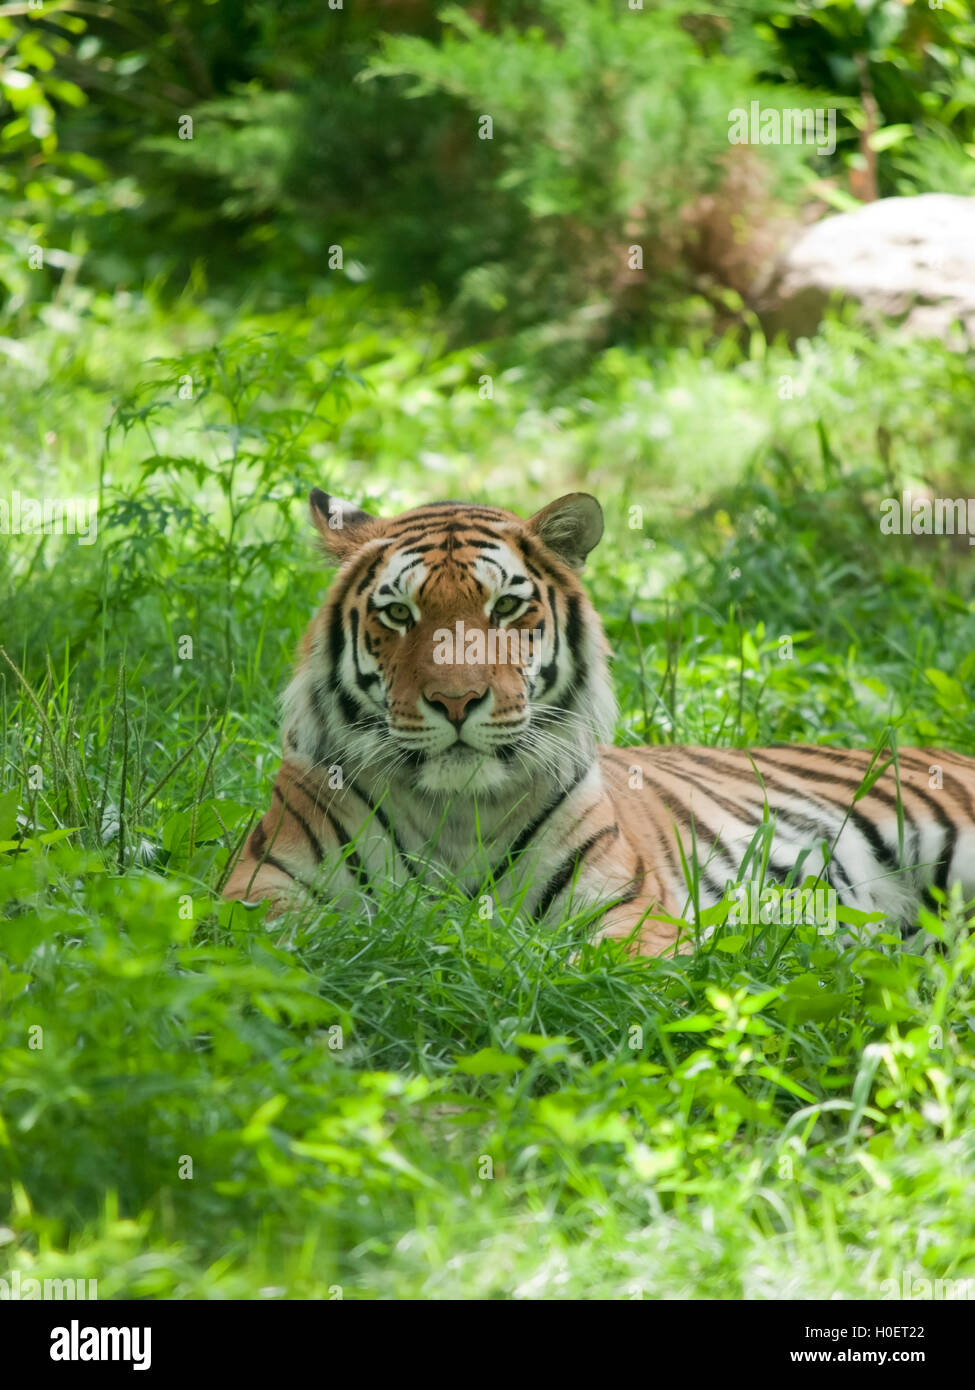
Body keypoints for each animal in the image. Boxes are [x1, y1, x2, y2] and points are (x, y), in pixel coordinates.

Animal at [222, 489, 973, 956]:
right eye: (398, 614)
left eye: (504, 608)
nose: (457, 701)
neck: (456, 813)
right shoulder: (261, 890)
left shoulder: (626, 910)